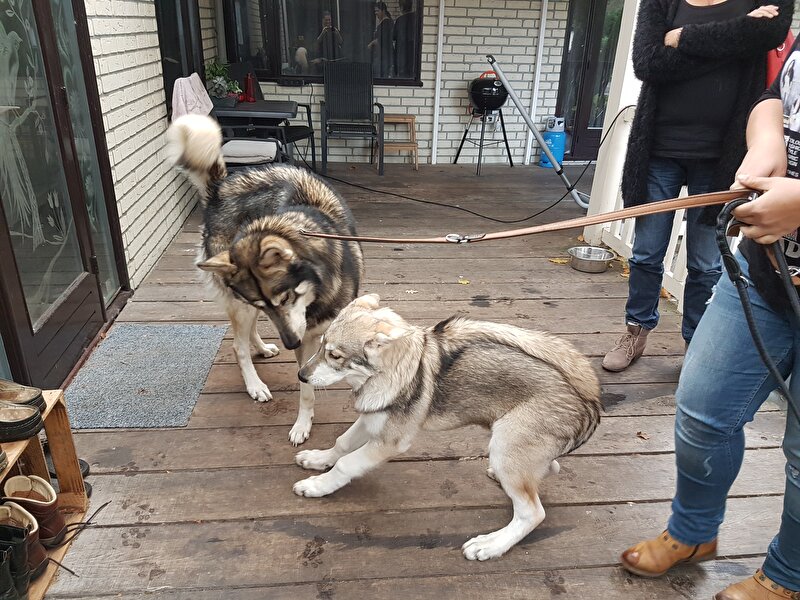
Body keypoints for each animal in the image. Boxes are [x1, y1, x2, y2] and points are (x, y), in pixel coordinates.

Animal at [165, 114, 363, 445]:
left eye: (286, 298)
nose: (291, 343)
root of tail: (221, 186)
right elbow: (306, 390)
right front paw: (302, 424)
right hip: (241, 303)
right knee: (238, 346)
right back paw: (254, 384)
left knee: (250, 332)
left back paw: (261, 347)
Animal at [294, 293, 602, 560]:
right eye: (320, 344)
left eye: (335, 356)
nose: (301, 376)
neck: (390, 372)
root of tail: (591, 404)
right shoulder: (372, 418)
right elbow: (342, 443)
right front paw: (317, 459)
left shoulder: (390, 441)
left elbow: (345, 464)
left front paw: (317, 486)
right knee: (544, 472)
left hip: (505, 446)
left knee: (532, 513)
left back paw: (490, 545)